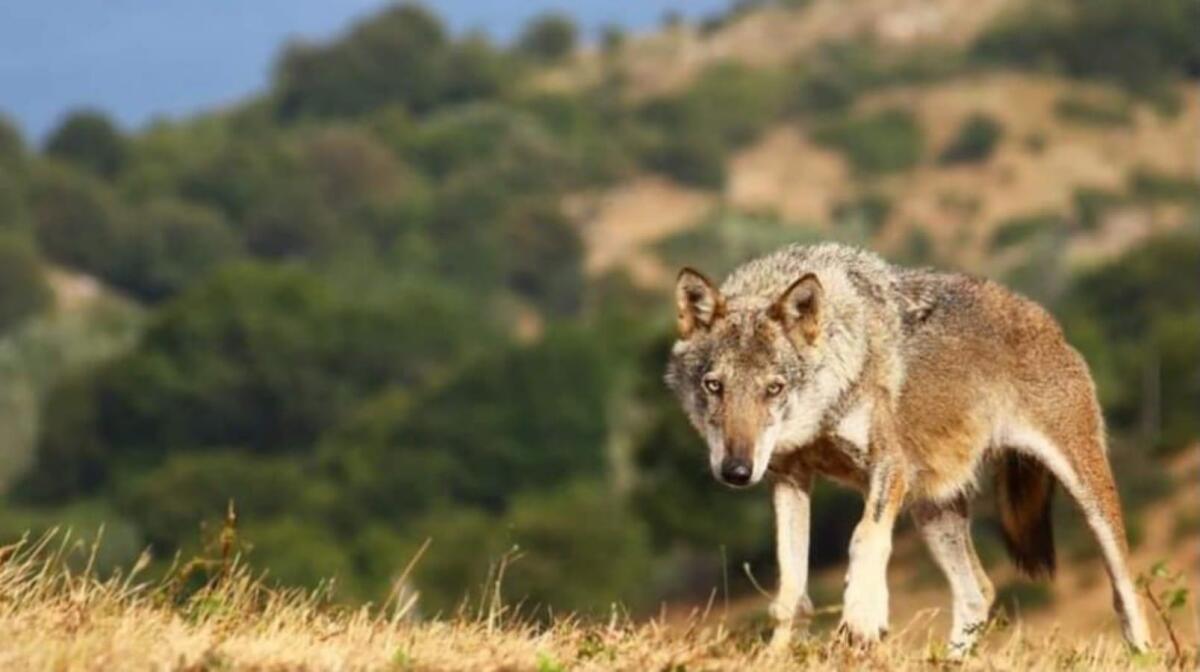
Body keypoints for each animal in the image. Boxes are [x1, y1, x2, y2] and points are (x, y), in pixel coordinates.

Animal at [665, 242, 1150, 656]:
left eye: (774, 388)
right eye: (714, 386)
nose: (736, 471)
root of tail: (1048, 321)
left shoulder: (889, 466)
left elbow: (865, 537)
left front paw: (863, 616)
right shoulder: (789, 478)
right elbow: (790, 589)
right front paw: (777, 654)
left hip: (1087, 495)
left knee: (1127, 592)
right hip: (932, 509)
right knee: (979, 593)